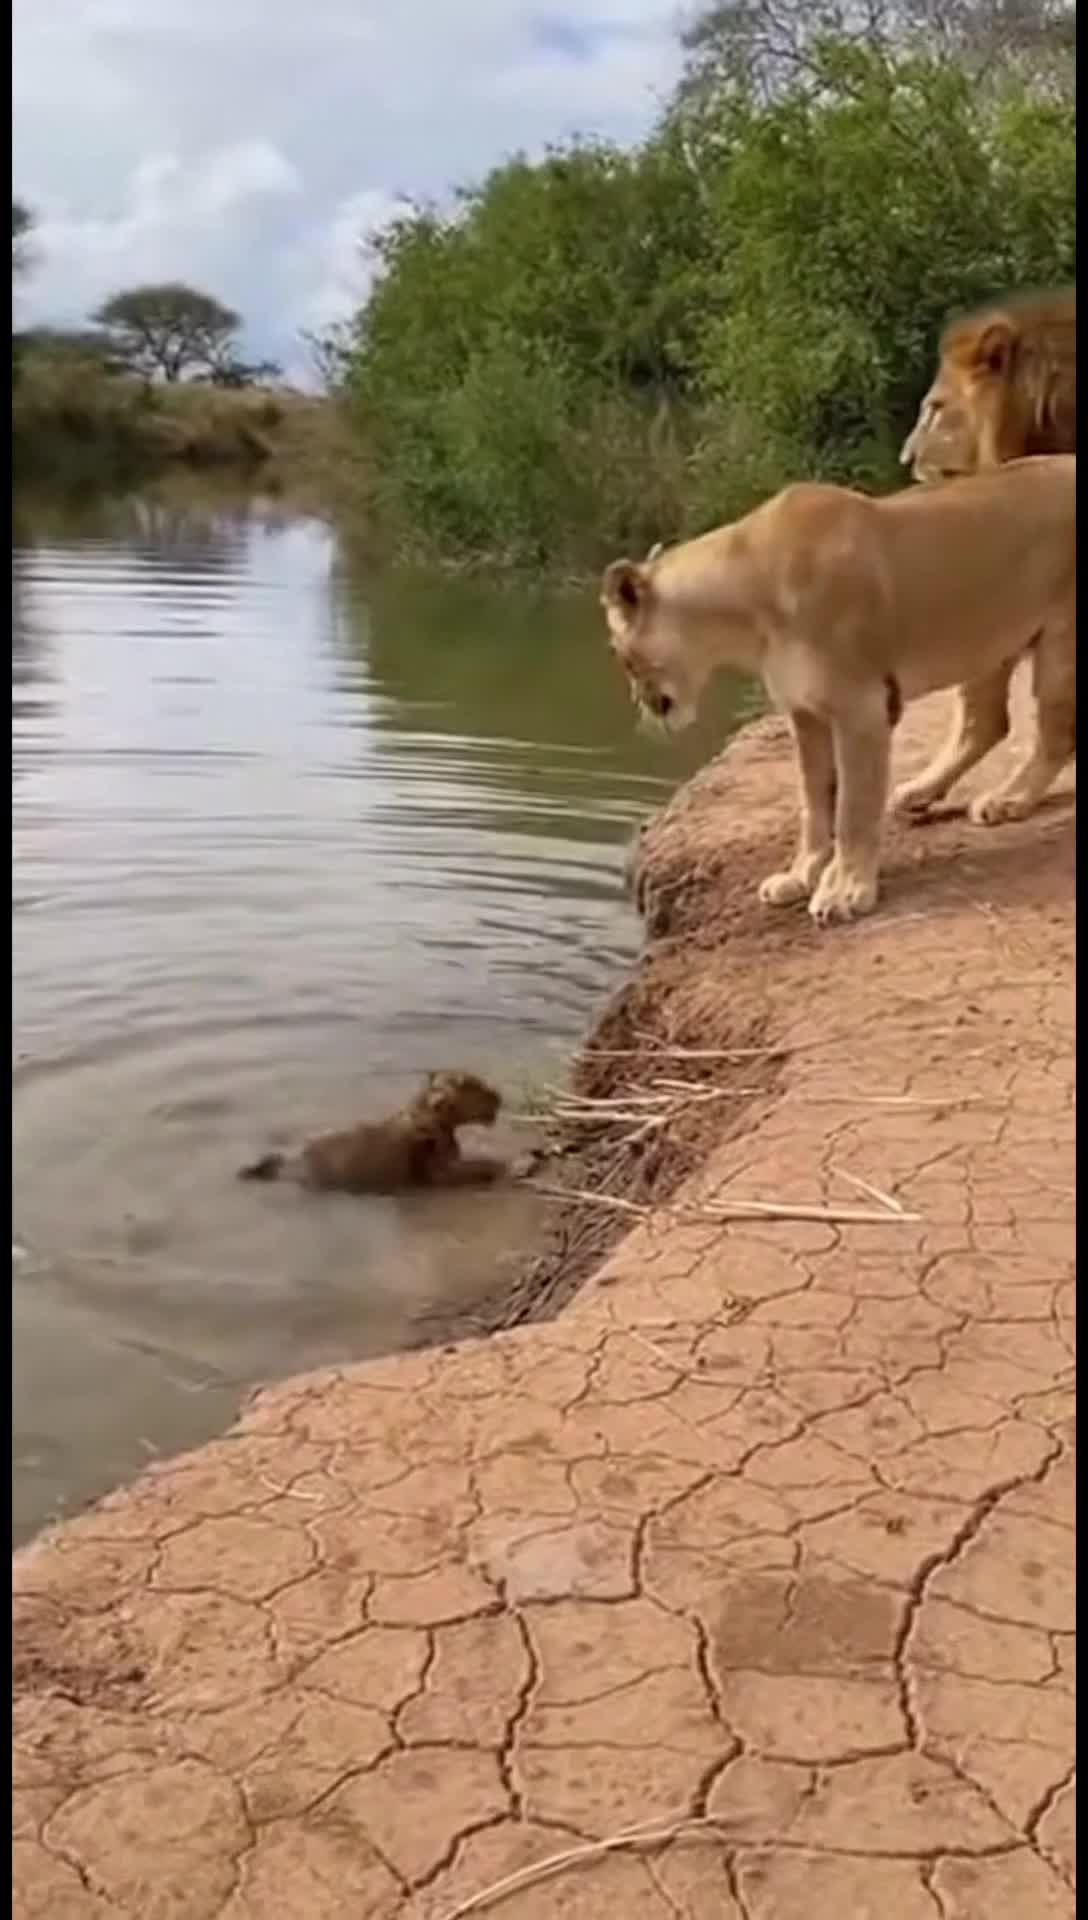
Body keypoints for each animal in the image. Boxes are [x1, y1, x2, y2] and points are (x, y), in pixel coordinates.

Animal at [600, 455, 1075, 926]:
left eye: (622, 657)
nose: (641, 703)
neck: (747, 607)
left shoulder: (861, 706)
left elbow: (852, 808)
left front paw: (847, 890)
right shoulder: (805, 712)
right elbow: (814, 801)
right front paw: (801, 875)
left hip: (1058, 642)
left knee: (1053, 735)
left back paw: (1008, 799)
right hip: (987, 642)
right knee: (986, 723)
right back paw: (919, 793)